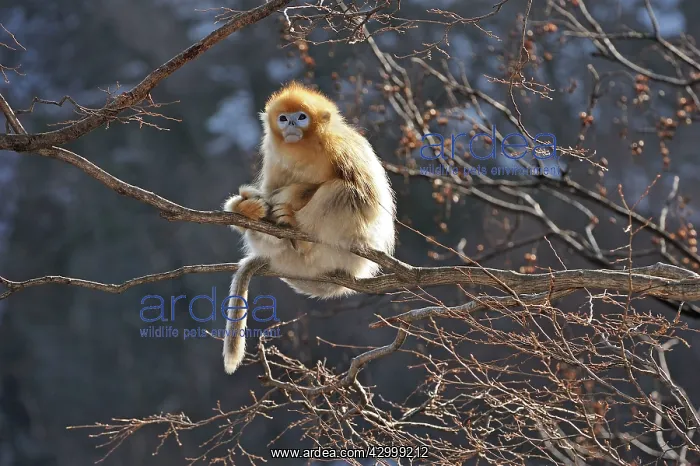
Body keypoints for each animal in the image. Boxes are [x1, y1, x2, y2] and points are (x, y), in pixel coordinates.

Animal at [221, 82, 396, 374]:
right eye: (283, 118)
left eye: (301, 117)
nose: (291, 123)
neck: (305, 149)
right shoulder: (274, 158)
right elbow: (270, 190)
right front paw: (256, 206)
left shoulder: (342, 148)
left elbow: (365, 198)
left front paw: (294, 201)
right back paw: (250, 210)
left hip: (345, 249)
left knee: (342, 190)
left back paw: (297, 230)